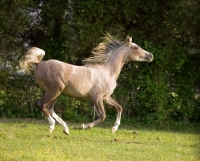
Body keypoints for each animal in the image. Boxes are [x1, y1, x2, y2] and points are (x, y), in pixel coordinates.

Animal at [19, 33, 152, 135]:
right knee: (41, 104)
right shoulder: (96, 97)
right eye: (136, 47)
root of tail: (39, 64)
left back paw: (66, 129)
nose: (151, 55)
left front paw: (114, 129)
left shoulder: (106, 97)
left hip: (55, 92)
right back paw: (52, 126)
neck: (108, 71)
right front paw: (83, 126)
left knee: (50, 108)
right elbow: (102, 116)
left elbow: (119, 108)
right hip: (55, 90)